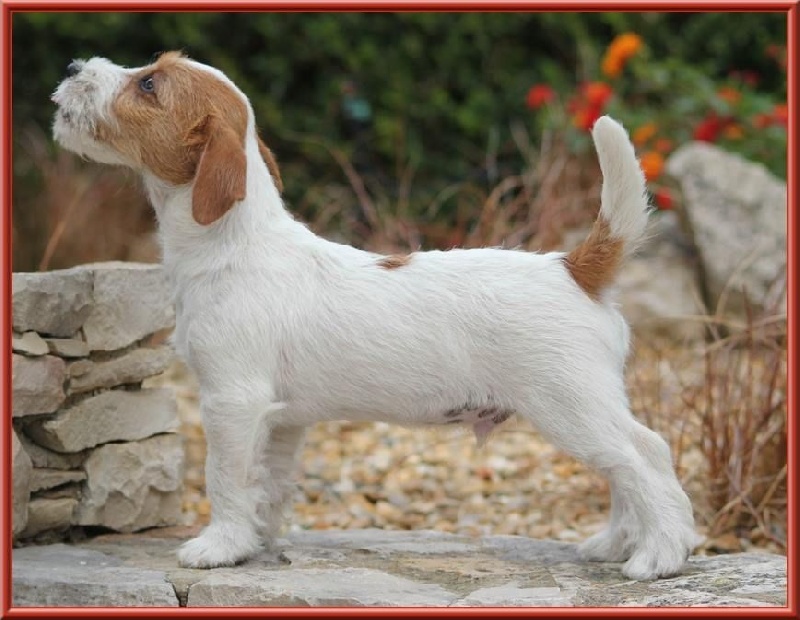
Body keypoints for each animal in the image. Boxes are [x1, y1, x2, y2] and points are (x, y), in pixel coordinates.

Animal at [52, 51, 701, 580]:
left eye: (149, 84)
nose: (73, 67)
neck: (233, 242)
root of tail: (572, 267)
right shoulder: (281, 421)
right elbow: (270, 483)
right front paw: (256, 542)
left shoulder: (231, 402)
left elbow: (226, 479)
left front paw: (219, 547)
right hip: (590, 402)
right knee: (637, 458)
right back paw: (617, 543)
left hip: (569, 406)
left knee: (642, 458)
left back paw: (658, 556)